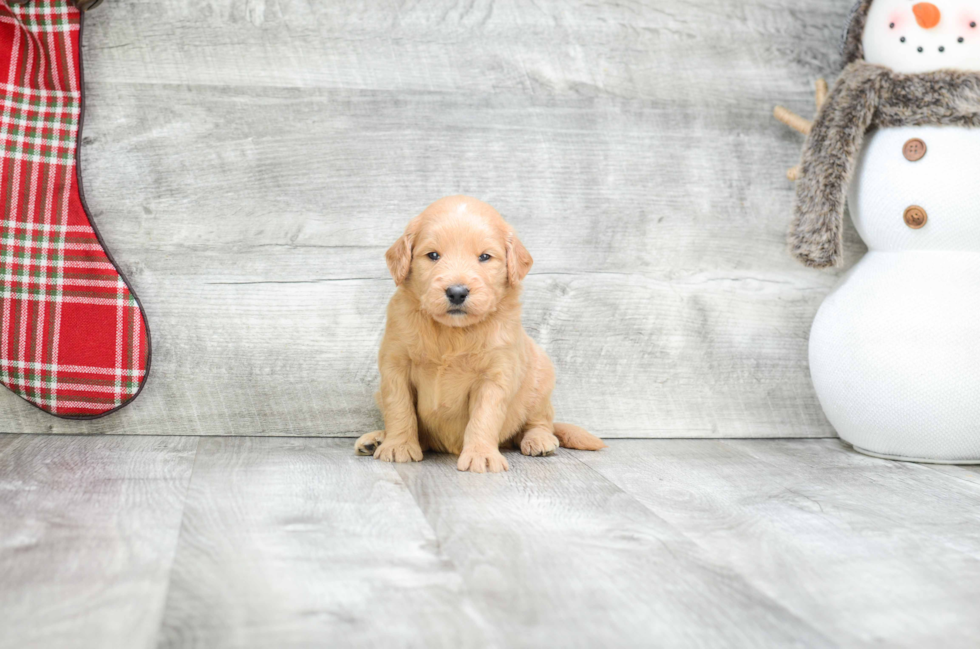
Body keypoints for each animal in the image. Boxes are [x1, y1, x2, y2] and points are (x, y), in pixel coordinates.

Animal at [354, 192, 604, 470]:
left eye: (485, 257)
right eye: (433, 255)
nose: (457, 292)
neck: (451, 332)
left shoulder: (495, 376)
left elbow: (484, 417)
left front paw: (481, 455)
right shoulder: (395, 365)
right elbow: (399, 409)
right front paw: (398, 445)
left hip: (541, 378)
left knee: (540, 421)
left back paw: (539, 440)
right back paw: (376, 439)